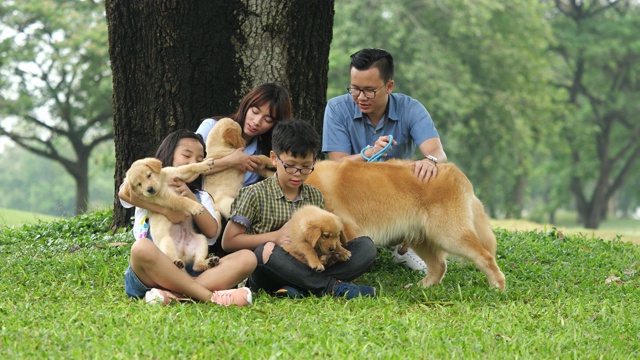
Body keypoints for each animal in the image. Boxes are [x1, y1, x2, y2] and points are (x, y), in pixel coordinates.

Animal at [304, 160, 504, 290]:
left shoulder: (349, 230)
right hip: (422, 239)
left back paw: (497, 287)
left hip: (449, 235)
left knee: (485, 257)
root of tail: (456, 173)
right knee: (439, 266)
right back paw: (419, 287)